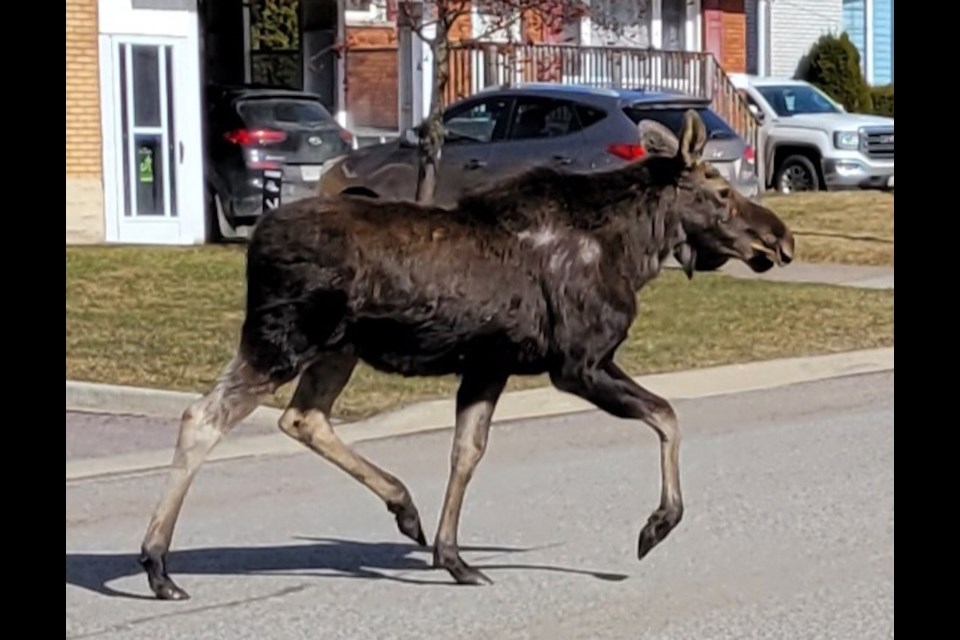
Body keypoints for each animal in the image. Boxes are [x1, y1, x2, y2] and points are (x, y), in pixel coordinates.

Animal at [137, 110, 796, 600]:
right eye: (720, 191)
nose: (781, 238)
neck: (635, 251)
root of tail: (253, 239)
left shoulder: (489, 364)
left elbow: (466, 452)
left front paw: (451, 555)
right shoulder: (577, 364)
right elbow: (668, 415)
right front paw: (656, 526)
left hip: (336, 349)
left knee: (304, 418)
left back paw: (404, 507)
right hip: (282, 340)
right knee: (203, 417)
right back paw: (156, 565)